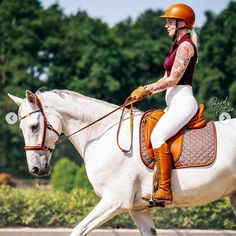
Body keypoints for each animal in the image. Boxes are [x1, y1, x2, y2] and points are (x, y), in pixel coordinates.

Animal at [8, 89, 235, 235]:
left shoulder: (114, 200)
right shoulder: (138, 209)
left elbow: (78, 230)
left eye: (35, 126)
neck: (102, 135)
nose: (35, 169)